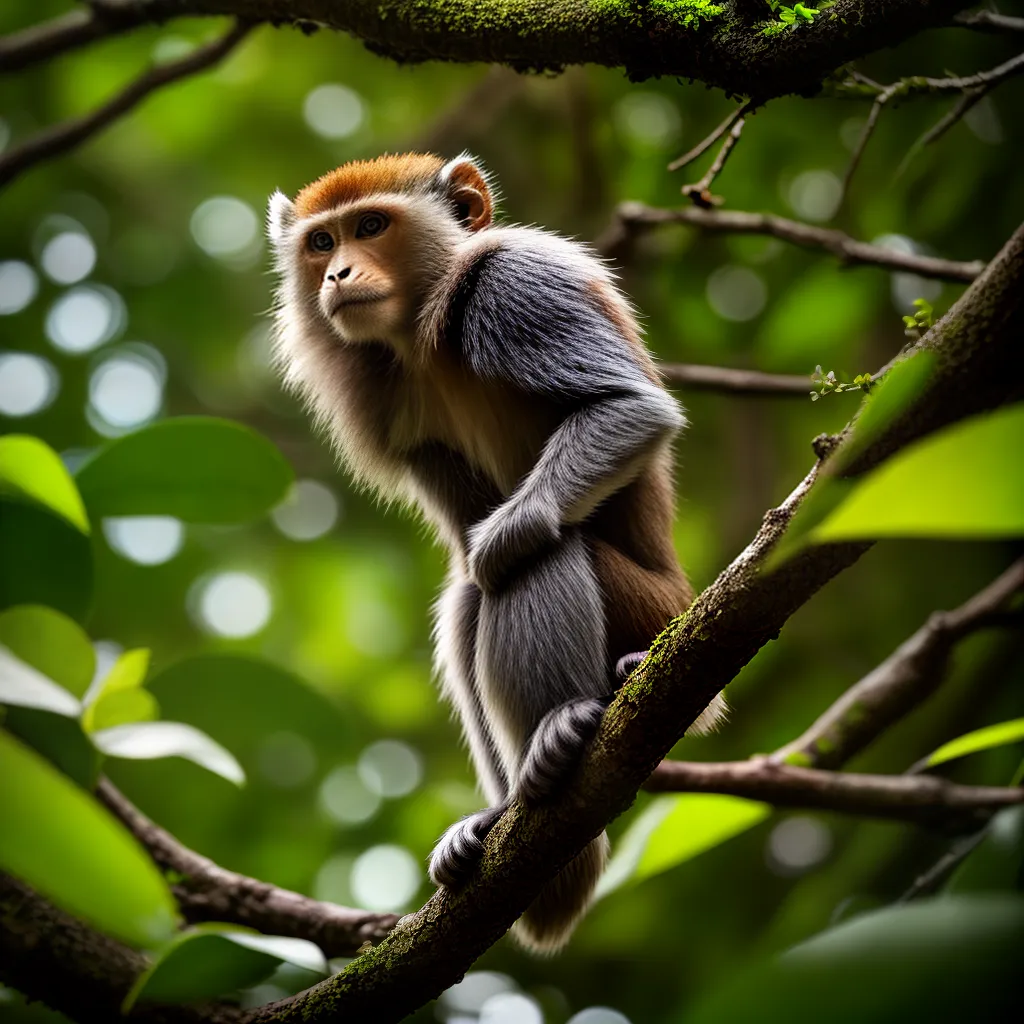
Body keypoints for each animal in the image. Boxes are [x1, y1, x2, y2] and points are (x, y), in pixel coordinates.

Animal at [266, 153, 726, 953]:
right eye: (321, 243)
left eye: (371, 225)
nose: (338, 274)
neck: (422, 336)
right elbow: (463, 565)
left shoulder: (516, 283)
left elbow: (627, 410)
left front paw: (505, 541)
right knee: (466, 603)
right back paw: (502, 811)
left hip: (657, 610)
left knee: (537, 556)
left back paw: (564, 726)